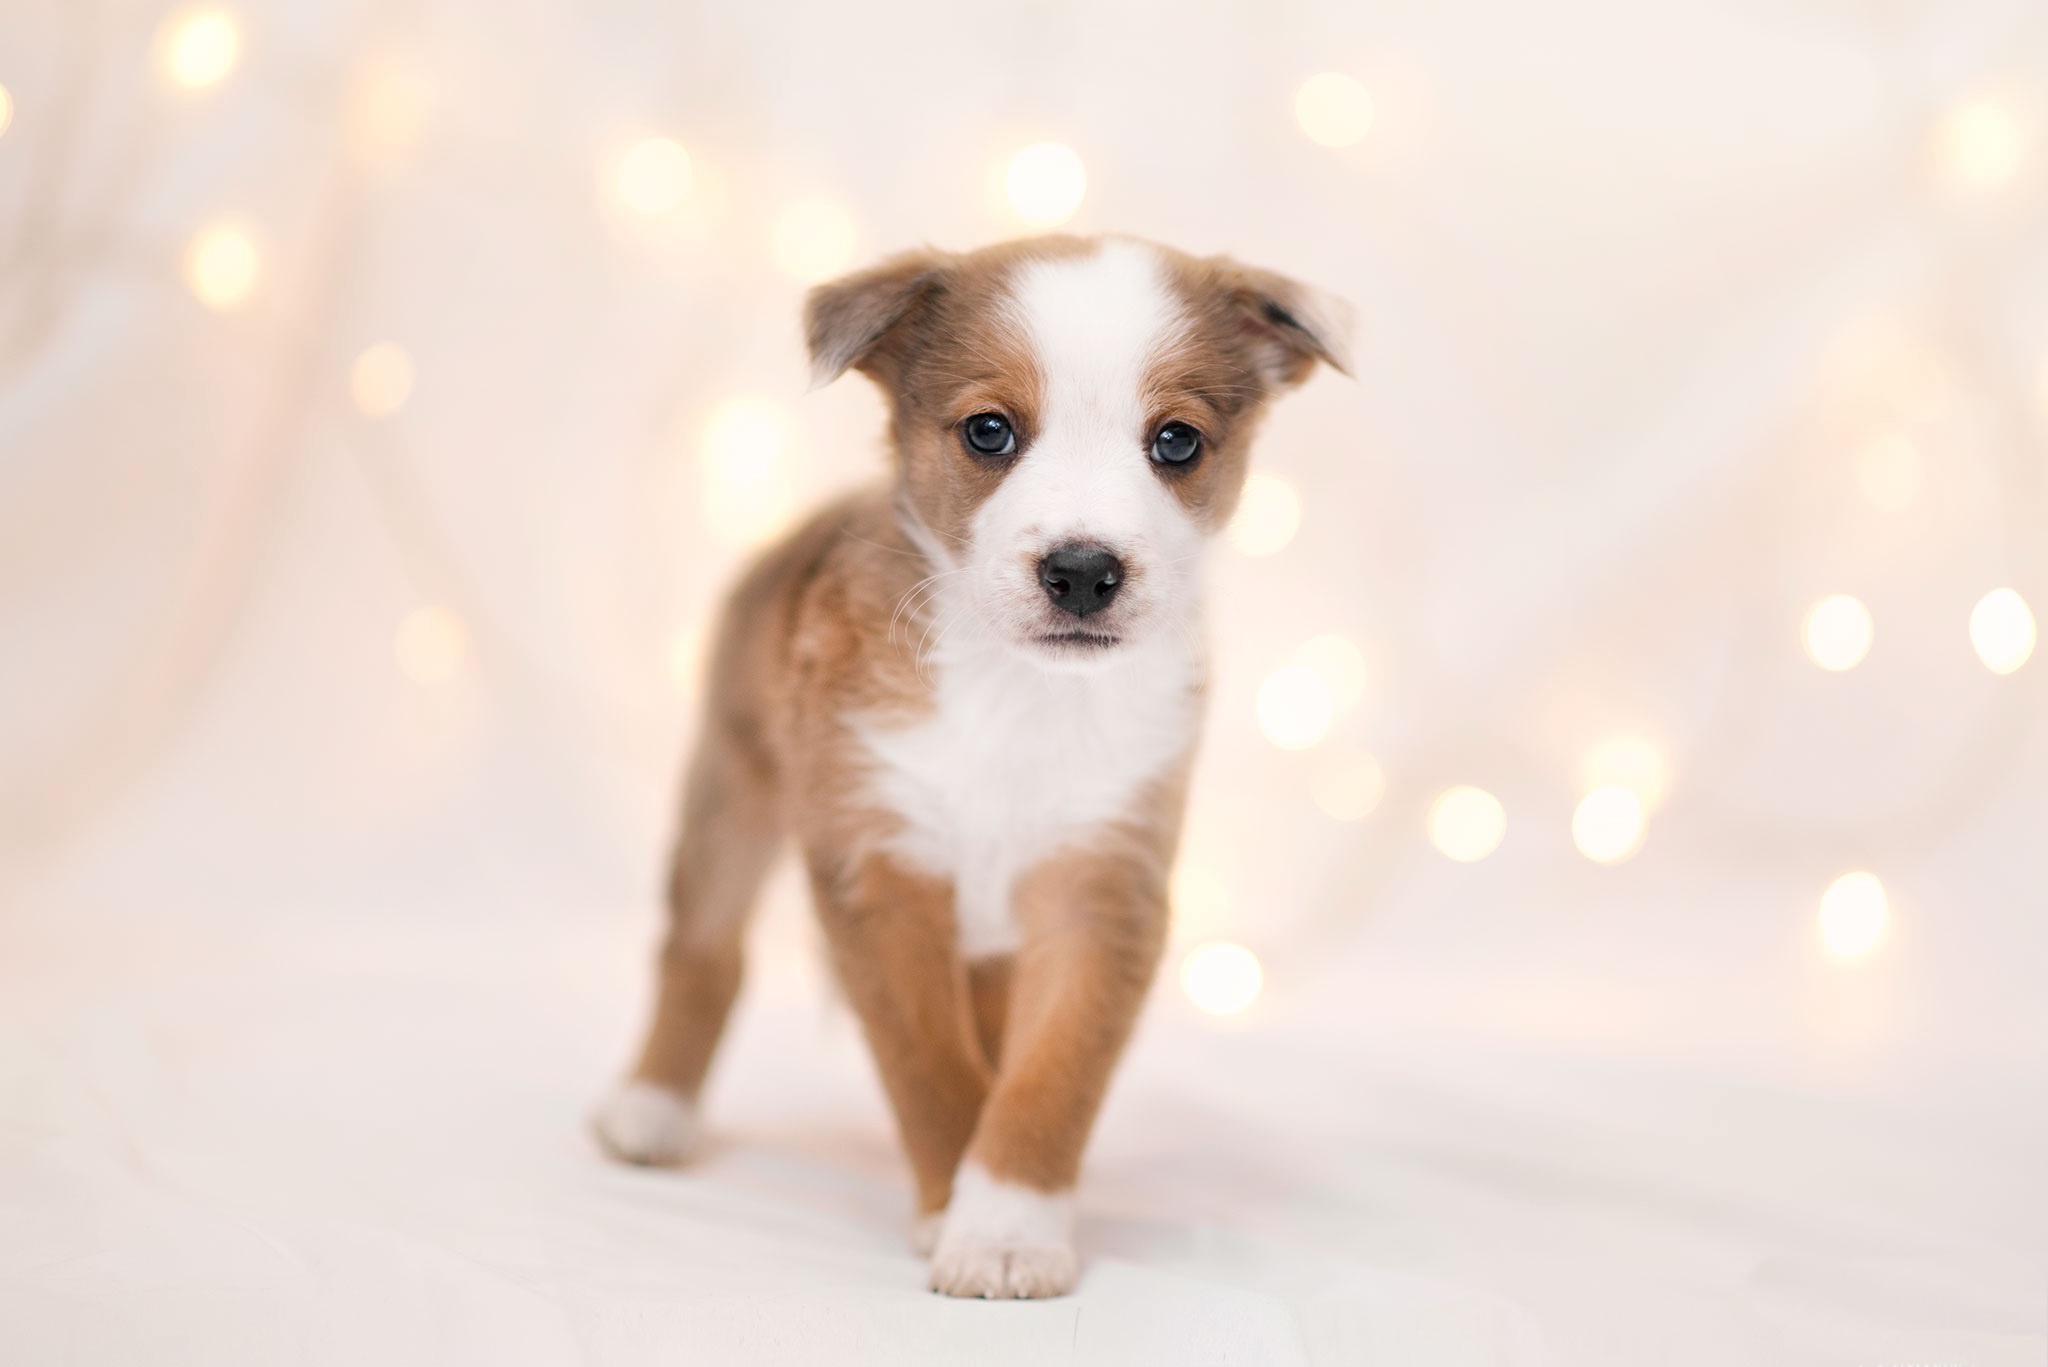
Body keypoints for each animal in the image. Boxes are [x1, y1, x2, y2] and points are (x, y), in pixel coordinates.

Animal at [593, 237, 1351, 1303]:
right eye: (990, 431)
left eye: (1177, 442)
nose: (1083, 571)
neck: (1017, 691)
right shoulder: (880, 872)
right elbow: (930, 1064)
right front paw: (955, 1208)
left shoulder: (1102, 887)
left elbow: (1050, 1072)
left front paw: (1007, 1225)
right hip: (731, 792)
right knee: (704, 950)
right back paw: (652, 1107)